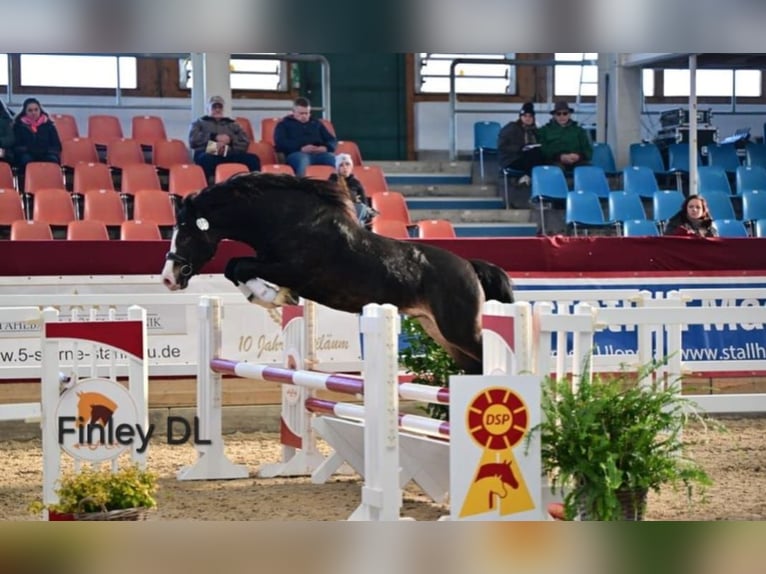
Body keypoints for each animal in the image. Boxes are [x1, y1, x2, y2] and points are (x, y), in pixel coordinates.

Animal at [161, 172, 513, 374]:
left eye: (186, 233)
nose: (168, 277)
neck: (287, 219)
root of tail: (470, 267)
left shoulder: (293, 269)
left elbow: (237, 266)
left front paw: (274, 296)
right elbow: (234, 268)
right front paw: (273, 297)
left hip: (460, 330)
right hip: (439, 331)